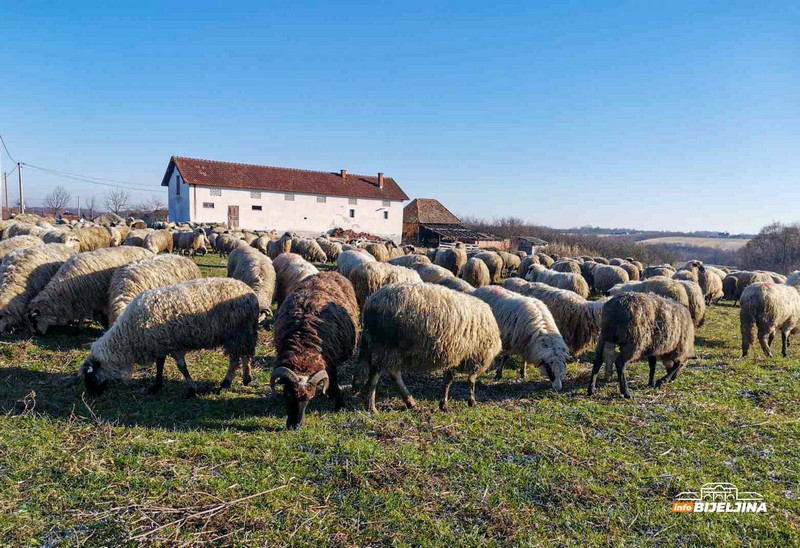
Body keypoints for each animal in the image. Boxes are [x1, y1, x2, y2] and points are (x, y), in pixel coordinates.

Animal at [81, 278, 258, 398]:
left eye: (89, 377)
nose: (91, 395)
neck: (128, 335)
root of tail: (250, 293)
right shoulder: (160, 343)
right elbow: (160, 365)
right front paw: (156, 386)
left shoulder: (173, 345)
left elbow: (182, 368)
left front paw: (192, 389)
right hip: (244, 332)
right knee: (245, 355)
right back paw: (246, 378)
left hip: (236, 333)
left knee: (235, 359)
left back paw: (225, 384)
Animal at [270, 272, 358, 430]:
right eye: (287, 395)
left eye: (310, 397)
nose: (295, 426)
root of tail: (328, 272)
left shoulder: (330, 361)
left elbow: (334, 381)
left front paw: (339, 404)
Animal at [356, 282, 500, 412]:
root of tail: (371, 301)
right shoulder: (474, 355)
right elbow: (471, 380)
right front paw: (472, 401)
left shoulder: (453, 353)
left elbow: (448, 380)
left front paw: (443, 404)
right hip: (388, 345)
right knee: (376, 372)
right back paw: (371, 406)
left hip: (392, 348)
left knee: (393, 372)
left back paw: (410, 402)